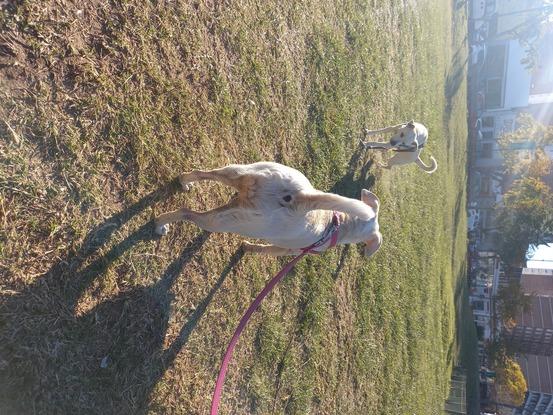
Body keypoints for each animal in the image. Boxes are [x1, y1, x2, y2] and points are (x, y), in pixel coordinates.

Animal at [153, 162, 382, 256]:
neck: (338, 223)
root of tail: (297, 197)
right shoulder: (284, 251)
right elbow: (263, 249)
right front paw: (247, 248)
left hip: (239, 173)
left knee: (201, 173)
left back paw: (184, 182)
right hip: (223, 223)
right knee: (185, 212)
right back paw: (159, 225)